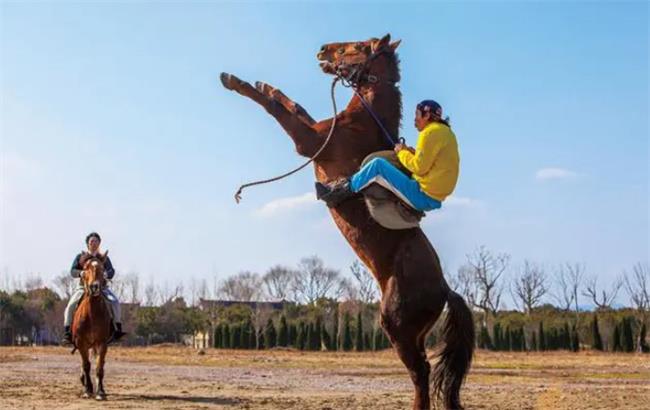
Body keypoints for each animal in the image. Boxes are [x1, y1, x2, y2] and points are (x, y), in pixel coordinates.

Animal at [72, 253, 112, 400]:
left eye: (102, 268)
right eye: (85, 268)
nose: (94, 286)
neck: (92, 313)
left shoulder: (102, 343)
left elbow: (99, 367)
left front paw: (100, 392)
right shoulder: (81, 342)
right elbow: (86, 365)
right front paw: (87, 389)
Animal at [220, 33, 474, 408]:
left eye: (356, 46)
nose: (323, 50)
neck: (360, 122)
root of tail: (444, 288)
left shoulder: (310, 141)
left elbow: (281, 111)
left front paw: (236, 81)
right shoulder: (316, 131)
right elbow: (294, 105)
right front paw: (265, 84)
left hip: (397, 324)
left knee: (421, 371)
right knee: (423, 370)